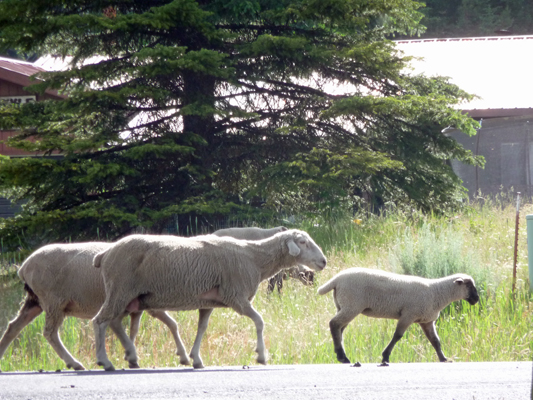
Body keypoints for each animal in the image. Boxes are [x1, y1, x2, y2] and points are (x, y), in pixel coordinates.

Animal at [0, 241, 190, 372]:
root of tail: (23, 268)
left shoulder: (135, 305)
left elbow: (133, 329)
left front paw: (130, 356)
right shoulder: (147, 302)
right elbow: (172, 324)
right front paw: (183, 356)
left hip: (35, 301)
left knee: (13, 327)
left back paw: (1, 355)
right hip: (53, 301)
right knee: (50, 333)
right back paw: (74, 363)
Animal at [92, 230, 324, 370]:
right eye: (303, 242)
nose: (323, 261)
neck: (255, 258)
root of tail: (105, 253)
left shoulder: (208, 301)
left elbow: (202, 328)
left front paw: (196, 358)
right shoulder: (236, 296)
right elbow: (259, 321)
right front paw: (261, 355)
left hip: (128, 297)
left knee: (113, 322)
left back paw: (130, 356)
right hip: (120, 289)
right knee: (99, 321)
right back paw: (105, 361)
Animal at [316, 268, 478, 366]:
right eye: (469, 285)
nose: (476, 299)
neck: (438, 293)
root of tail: (336, 280)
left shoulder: (426, 320)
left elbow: (435, 341)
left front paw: (444, 359)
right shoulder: (408, 314)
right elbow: (397, 336)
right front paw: (385, 357)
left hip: (343, 306)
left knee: (339, 328)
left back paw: (340, 354)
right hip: (352, 305)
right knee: (334, 324)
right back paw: (343, 357)